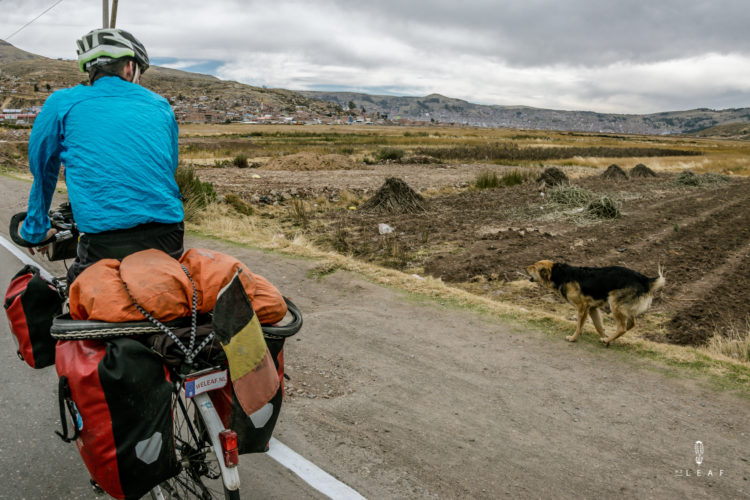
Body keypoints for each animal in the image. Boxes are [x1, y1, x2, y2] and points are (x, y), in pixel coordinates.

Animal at [528, 260, 664, 346]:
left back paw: (607, 339)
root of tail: (644, 279)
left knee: (622, 328)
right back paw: (608, 340)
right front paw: (605, 337)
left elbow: (579, 326)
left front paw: (573, 338)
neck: (560, 274)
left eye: (533, 267)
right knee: (631, 324)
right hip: (624, 307)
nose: (525, 267)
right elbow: (598, 326)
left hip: (615, 305)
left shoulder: (582, 307)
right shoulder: (592, 308)